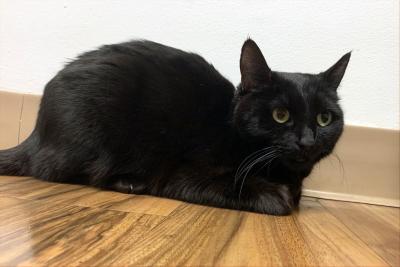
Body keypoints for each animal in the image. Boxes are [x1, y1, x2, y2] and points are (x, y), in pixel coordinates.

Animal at [0, 39, 350, 216]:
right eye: (280, 115)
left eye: (324, 118)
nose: (308, 141)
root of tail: (36, 135)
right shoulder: (184, 173)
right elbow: (252, 190)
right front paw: (276, 196)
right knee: (60, 170)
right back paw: (130, 182)